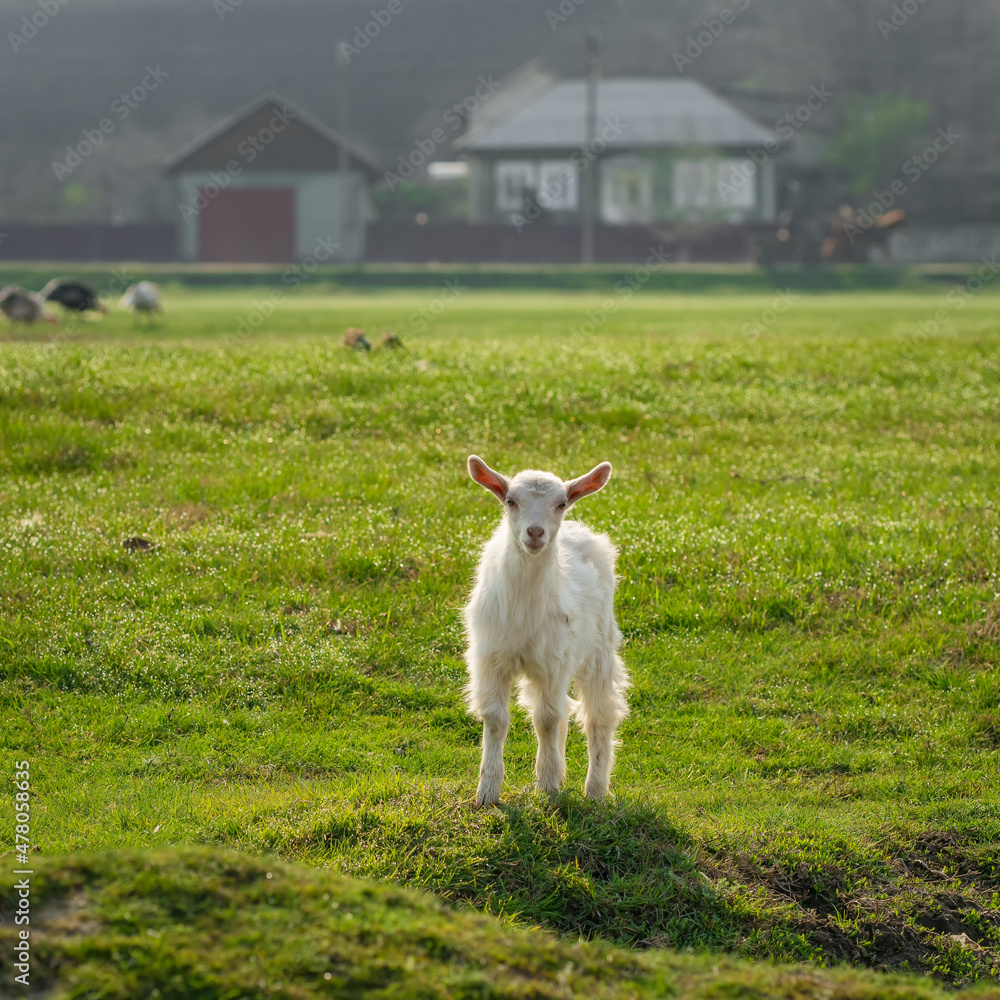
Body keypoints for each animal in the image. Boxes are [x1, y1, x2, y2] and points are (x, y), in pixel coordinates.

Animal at [463, 455, 629, 807]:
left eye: (561, 503)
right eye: (510, 500)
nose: (535, 532)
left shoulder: (553, 662)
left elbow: (546, 720)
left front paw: (548, 788)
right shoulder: (491, 658)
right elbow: (496, 719)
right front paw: (487, 793)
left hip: (599, 648)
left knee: (597, 716)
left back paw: (595, 791)